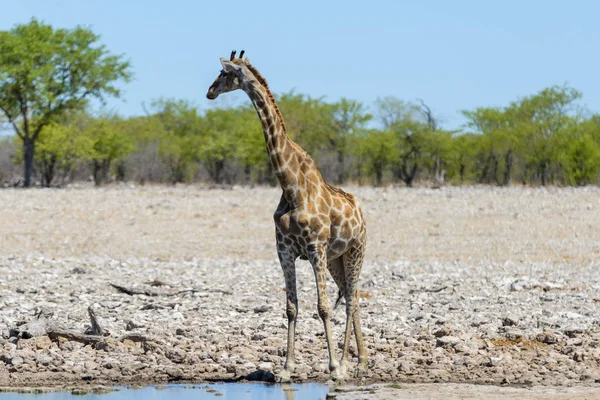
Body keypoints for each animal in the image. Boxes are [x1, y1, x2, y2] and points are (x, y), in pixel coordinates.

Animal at [205, 50, 366, 382]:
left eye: (224, 73)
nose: (209, 92)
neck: (291, 186)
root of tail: (361, 210)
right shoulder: (285, 251)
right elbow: (291, 307)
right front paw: (286, 369)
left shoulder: (315, 249)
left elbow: (323, 307)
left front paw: (333, 367)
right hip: (337, 259)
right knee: (351, 297)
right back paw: (361, 362)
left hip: (356, 250)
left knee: (352, 300)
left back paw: (349, 364)